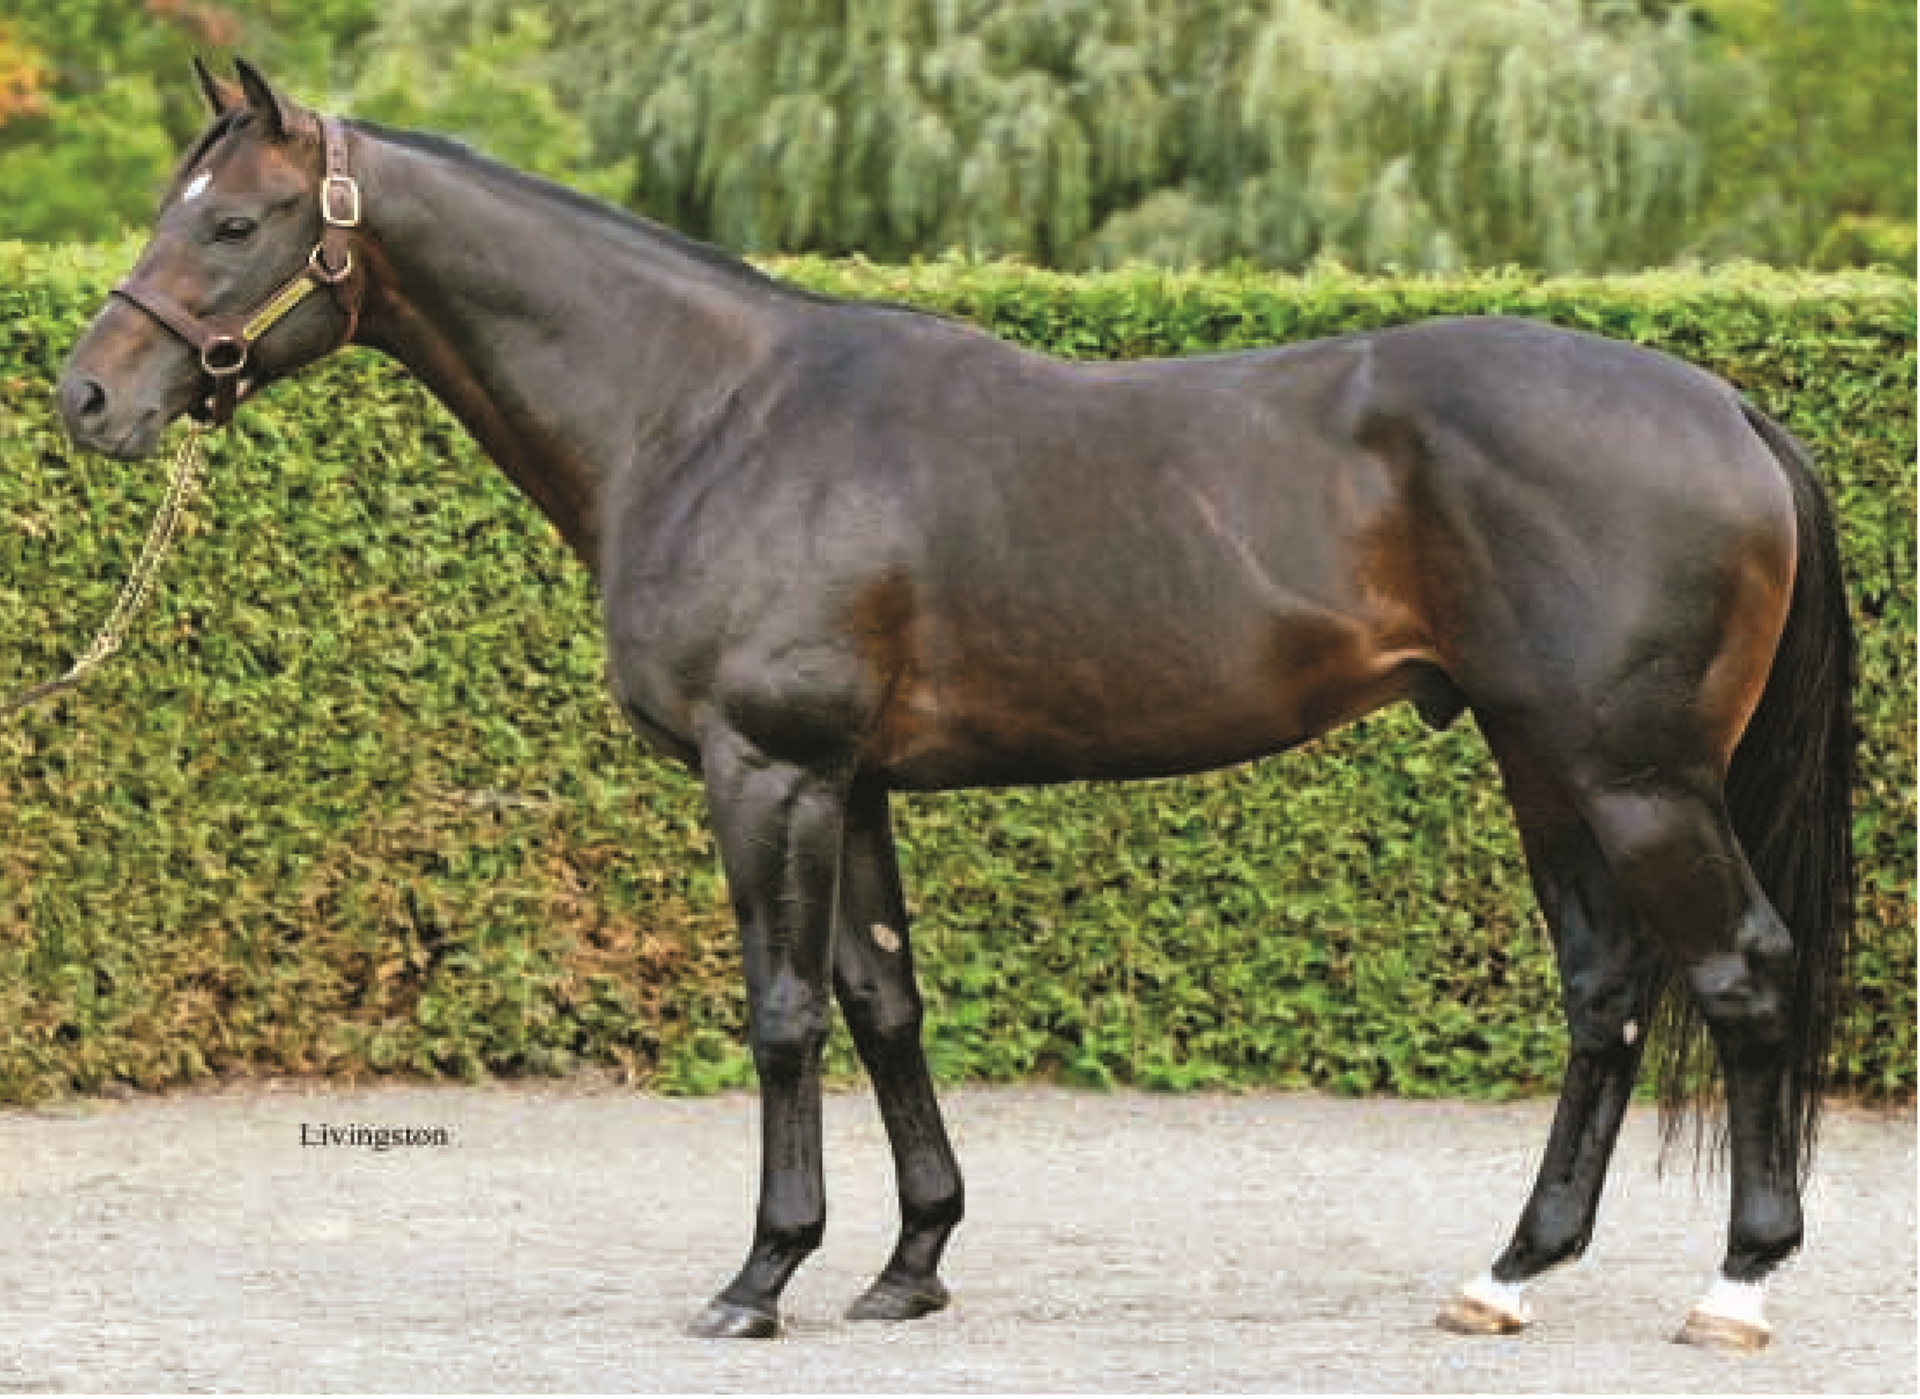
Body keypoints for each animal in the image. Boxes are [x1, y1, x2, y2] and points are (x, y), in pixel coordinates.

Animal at [56, 61, 1854, 1350]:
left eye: (233, 223)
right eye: (173, 205)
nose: (87, 396)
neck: (711, 412)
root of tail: (1728, 406)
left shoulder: (765, 768)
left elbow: (785, 1011)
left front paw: (760, 1274)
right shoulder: (849, 780)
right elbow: (883, 998)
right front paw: (910, 1261)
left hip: (1632, 774)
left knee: (1742, 970)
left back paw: (1740, 1284)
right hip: (1544, 763)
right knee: (1609, 989)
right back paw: (1511, 1273)